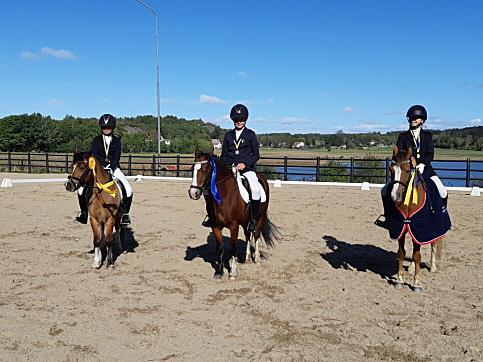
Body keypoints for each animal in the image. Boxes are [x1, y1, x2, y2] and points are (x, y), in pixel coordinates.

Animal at [188, 148, 280, 278]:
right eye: (193, 168)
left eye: (205, 169)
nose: (193, 193)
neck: (224, 195)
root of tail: (262, 178)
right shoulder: (215, 226)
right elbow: (220, 247)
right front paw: (219, 271)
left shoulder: (234, 225)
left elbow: (233, 247)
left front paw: (233, 272)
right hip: (246, 221)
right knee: (247, 235)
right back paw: (247, 258)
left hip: (260, 218)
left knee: (256, 235)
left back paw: (256, 259)